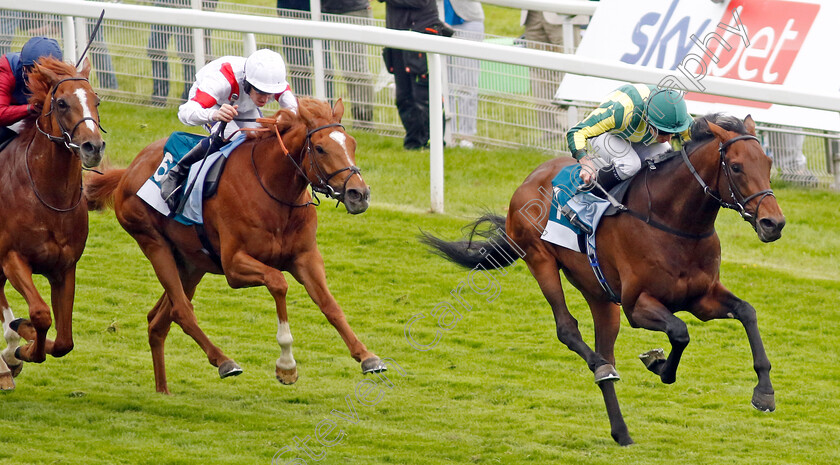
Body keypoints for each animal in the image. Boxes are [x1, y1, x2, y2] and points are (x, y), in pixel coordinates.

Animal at [0, 59, 106, 392]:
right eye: (61, 103)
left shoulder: (65, 267)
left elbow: (64, 341)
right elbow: (40, 315)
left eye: (96, 101)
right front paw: (22, 345)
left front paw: (20, 348)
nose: (93, 147)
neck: (50, 195)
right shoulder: (12, 258)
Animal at [85, 98, 388, 392]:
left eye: (353, 144)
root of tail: (128, 171)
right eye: (321, 148)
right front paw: (286, 366)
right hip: (153, 243)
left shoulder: (306, 258)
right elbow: (278, 283)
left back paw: (163, 392)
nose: (359, 194)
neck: (273, 192)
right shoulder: (233, 266)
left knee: (159, 320)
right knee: (182, 310)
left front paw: (367, 356)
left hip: (191, 264)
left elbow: (330, 304)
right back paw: (224, 361)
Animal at [424, 114, 784, 444]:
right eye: (736, 167)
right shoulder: (637, 306)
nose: (773, 223)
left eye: (768, 163)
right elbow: (680, 332)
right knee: (569, 330)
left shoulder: (701, 297)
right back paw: (601, 368)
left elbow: (747, 311)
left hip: (600, 295)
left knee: (604, 351)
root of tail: (530, 178)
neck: (674, 222)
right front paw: (659, 365)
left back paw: (621, 431)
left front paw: (764, 392)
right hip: (540, 260)